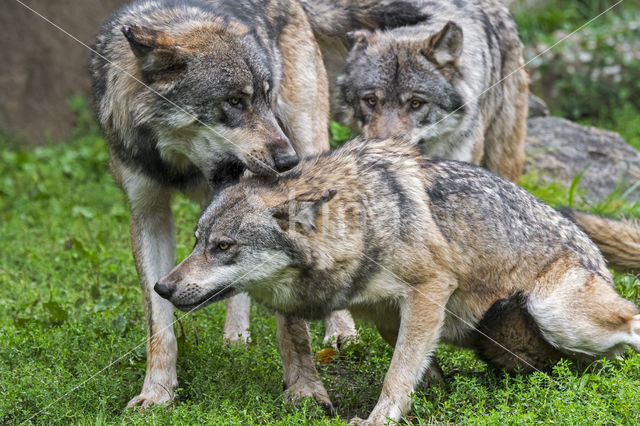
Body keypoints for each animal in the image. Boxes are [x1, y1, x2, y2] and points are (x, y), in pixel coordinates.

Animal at [89, 0, 358, 410]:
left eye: (265, 96)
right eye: (234, 101)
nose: (288, 163)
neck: (184, 165)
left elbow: (292, 324)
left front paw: (305, 389)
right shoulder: (147, 213)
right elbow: (159, 324)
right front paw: (156, 392)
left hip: (308, 141)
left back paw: (341, 331)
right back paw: (235, 337)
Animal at [154, 136, 640, 422]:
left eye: (223, 247)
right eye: (197, 242)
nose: (162, 288)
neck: (366, 220)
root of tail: (596, 258)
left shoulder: (430, 290)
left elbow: (396, 374)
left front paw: (379, 418)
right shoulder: (387, 314)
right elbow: (416, 368)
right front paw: (437, 395)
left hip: (555, 313)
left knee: (630, 322)